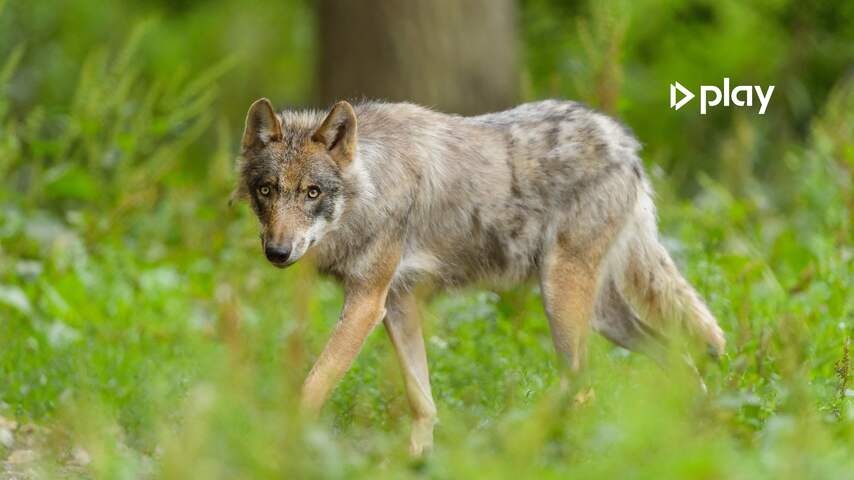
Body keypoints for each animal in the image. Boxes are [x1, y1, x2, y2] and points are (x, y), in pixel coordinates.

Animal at [232, 98, 726, 455]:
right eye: (267, 190)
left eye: (312, 192)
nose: (277, 252)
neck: (371, 187)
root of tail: (623, 143)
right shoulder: (397, 304)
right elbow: (422, 401)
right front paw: (416, 460)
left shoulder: (367, 303)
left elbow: (312, 387)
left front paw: (280, 445)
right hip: (604, 316)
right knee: (680, 359)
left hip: (561, 302)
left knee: (584, 385)